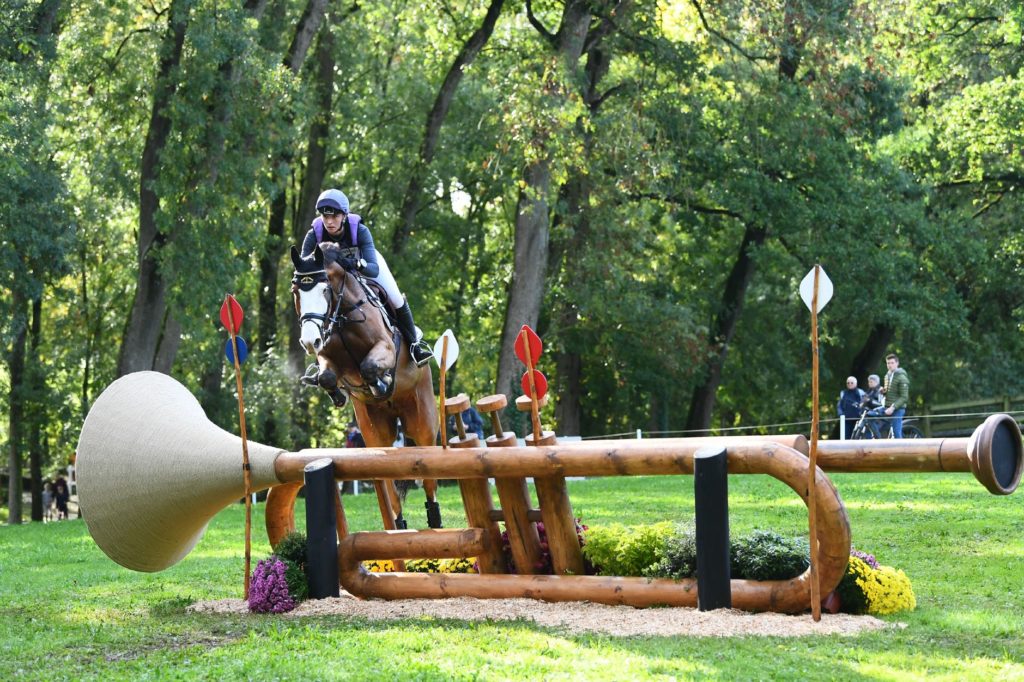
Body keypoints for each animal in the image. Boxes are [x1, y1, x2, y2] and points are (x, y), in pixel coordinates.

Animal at [286, 241, 442, 528]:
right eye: (296, 291)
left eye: (324, 289)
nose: (310, 341)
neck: (342, 315)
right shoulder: (328, 358)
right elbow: (326, 376)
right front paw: (339, 395)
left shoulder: (385, 347)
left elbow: (370, 366)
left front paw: (382, 383)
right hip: (376, 434)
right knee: (391, 490)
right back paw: (399, 527)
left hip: (422, 423)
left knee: (429, 480)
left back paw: (435, 521)